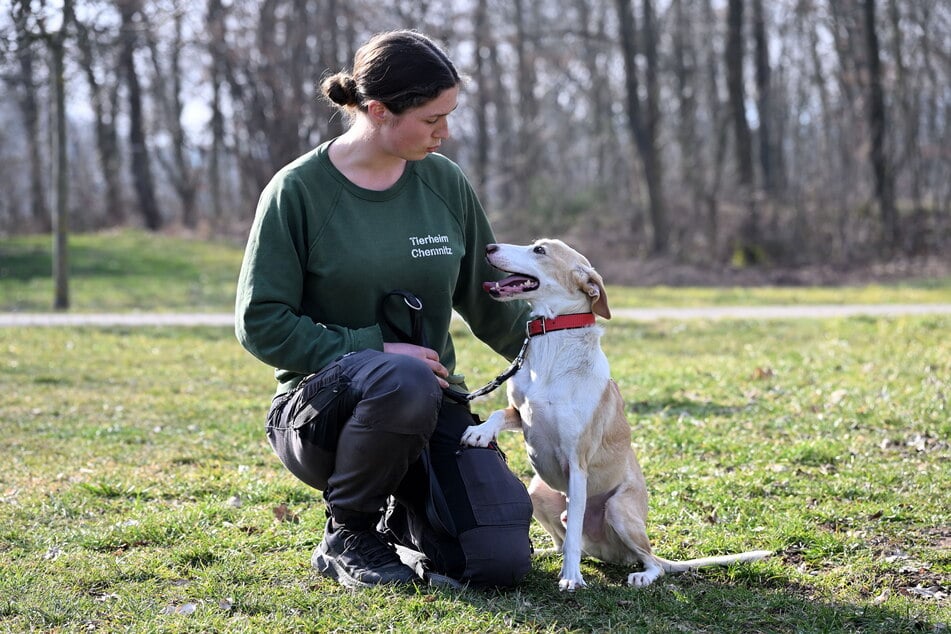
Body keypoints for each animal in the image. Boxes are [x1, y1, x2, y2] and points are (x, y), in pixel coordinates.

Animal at [462, 237, 772, 588]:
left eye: (539, 250)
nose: (488, 247)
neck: (553, 340)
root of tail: (604, 550)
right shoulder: (522, 411)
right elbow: (499, 413)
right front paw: (480, 432)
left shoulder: (577, 463)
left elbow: (572, 537)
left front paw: (572, 579)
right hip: (537, 491)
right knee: (561, 542)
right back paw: (542, 553)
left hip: (619, 509)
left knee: (646, 560)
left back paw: (639, 576)